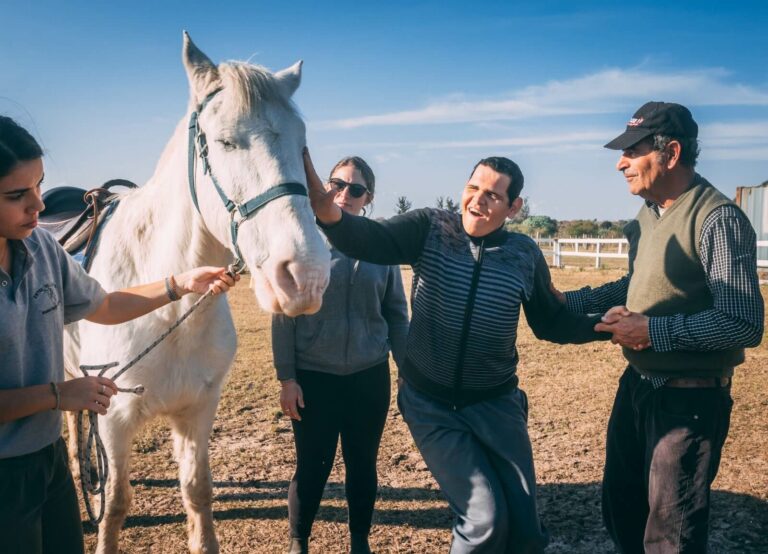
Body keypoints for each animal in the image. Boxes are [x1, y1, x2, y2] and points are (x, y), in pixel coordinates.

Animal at [63, 34, 330, 552]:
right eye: (225, 140)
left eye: (302, 143)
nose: (305, 277)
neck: (170, 317)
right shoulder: (114, 419)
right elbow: (115, 507)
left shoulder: (198, 411)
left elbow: (197, 491)